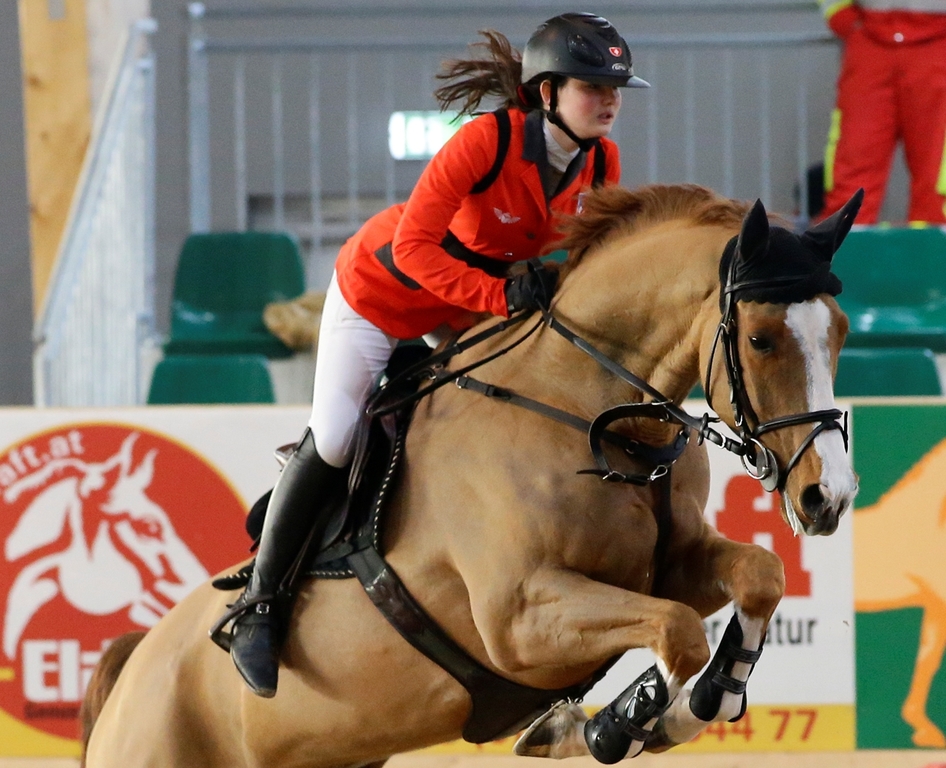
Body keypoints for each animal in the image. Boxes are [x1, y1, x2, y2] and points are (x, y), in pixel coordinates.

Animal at [85, 183, 860, 764]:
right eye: (760, 339)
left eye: (842, 331)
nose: (828, 496)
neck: (592, 416)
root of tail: (132, 670)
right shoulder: (518, 620)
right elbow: (677, 632)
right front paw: (609, 723)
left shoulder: (667, 564)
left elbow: (760, 574)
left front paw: (707, 696)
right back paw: (254, 645)